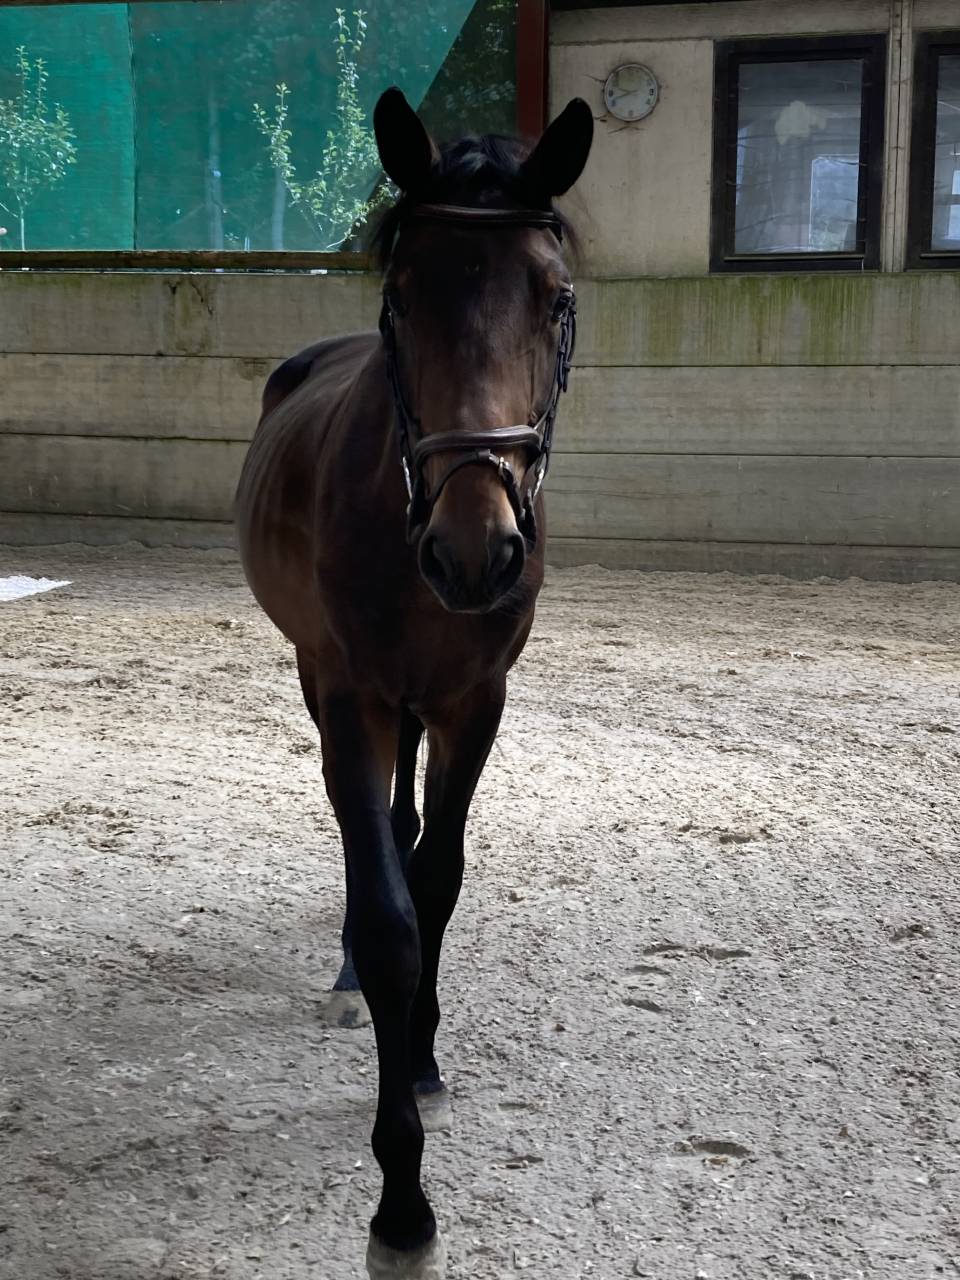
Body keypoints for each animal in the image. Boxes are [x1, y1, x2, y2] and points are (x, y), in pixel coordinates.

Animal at [234, 86, 593, 1279]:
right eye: (402, 296)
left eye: (555, 298)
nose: (475, 553)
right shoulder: (351, 696)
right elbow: (391, 915)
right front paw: (400, 1197)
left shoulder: (475, 703)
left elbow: (436, 880)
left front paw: (426, 1061)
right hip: (329, 683)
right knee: (368, 834)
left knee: (401, 822)